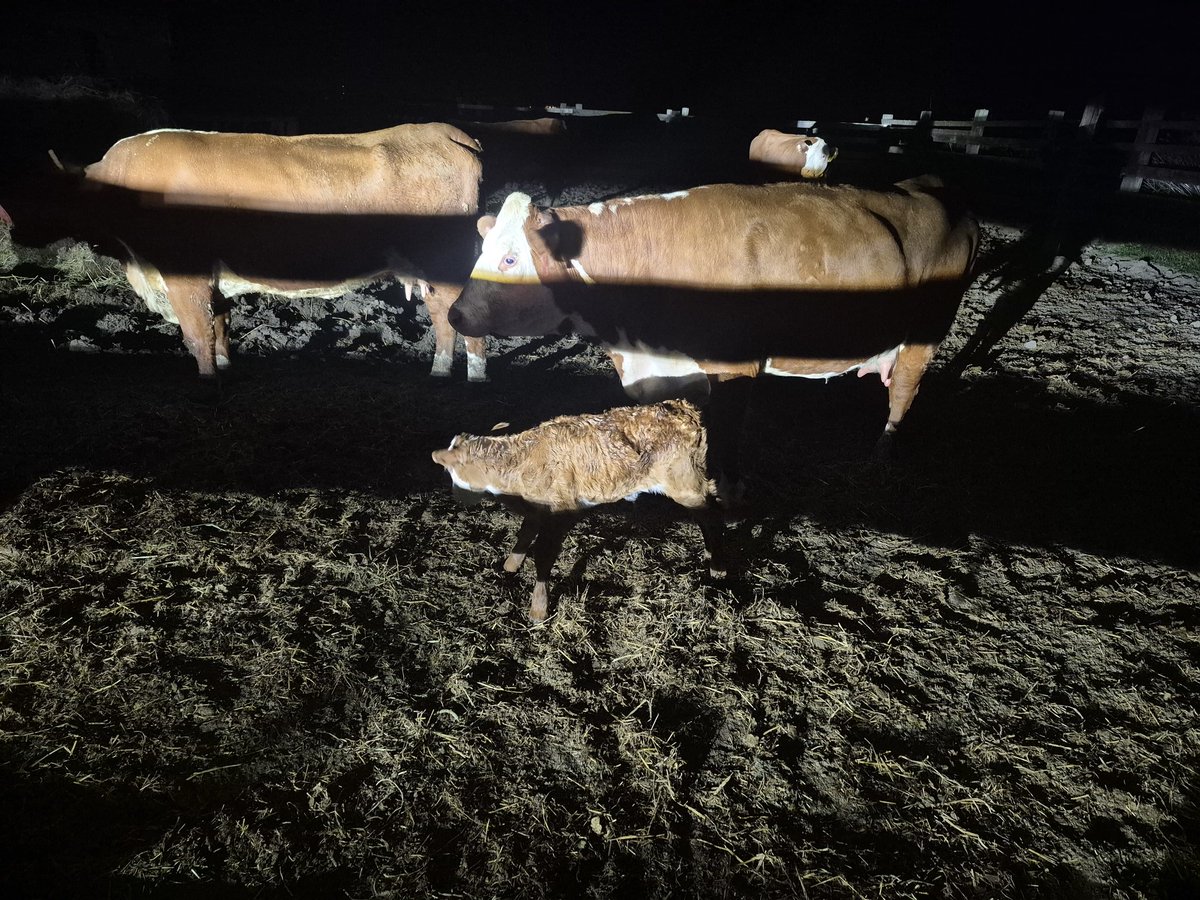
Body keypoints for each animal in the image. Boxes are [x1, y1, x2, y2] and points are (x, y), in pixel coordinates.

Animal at [72, 123, 486, 382]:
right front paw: (225, 367)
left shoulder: (185, 275)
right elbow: (220, 327)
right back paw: (441, 371)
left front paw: (207, 379)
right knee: (442, 316)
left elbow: (197, 334)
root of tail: (446, 133)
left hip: (444, 264)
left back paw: (474, 377)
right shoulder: (212, 280)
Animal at [431, 399, 724, 621]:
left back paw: (718, 567)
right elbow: (524, 535)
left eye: (451, 471)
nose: (457, 498)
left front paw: (538, 610)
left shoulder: (560, 514)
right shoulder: (536, 510)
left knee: (713, 515)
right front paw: (510, 567)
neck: (521, 462)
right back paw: (710, 554)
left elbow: (543, 556)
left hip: (686, 484)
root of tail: (682, 408)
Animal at [447, 177, 979, 492]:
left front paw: (726, 487)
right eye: (482, 250)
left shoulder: (735, 367)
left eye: (509, 259)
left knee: (904, 392)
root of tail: (934, 190)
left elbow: (725, 434)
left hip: (926, 333)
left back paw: (881, 457)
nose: (454, 314)